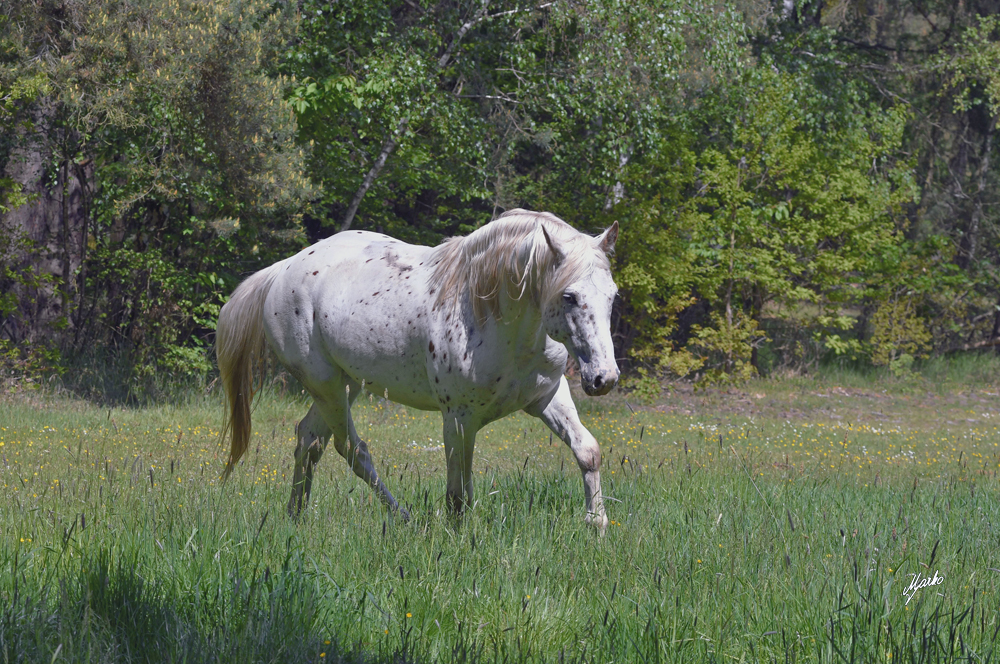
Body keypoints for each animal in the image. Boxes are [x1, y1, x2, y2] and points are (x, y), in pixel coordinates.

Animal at [221, 210, 616, 532]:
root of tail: (284, 269)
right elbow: (458, 495)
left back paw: (296, 515)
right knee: (351, 448)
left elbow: (588, 451)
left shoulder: (547, 397)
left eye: (612, 295)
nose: (605, 378)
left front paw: (596, 524)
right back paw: (402, 517)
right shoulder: (459, 418)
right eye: (568, 296)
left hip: (345, 386)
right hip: (327, 386)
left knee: (308, 440)